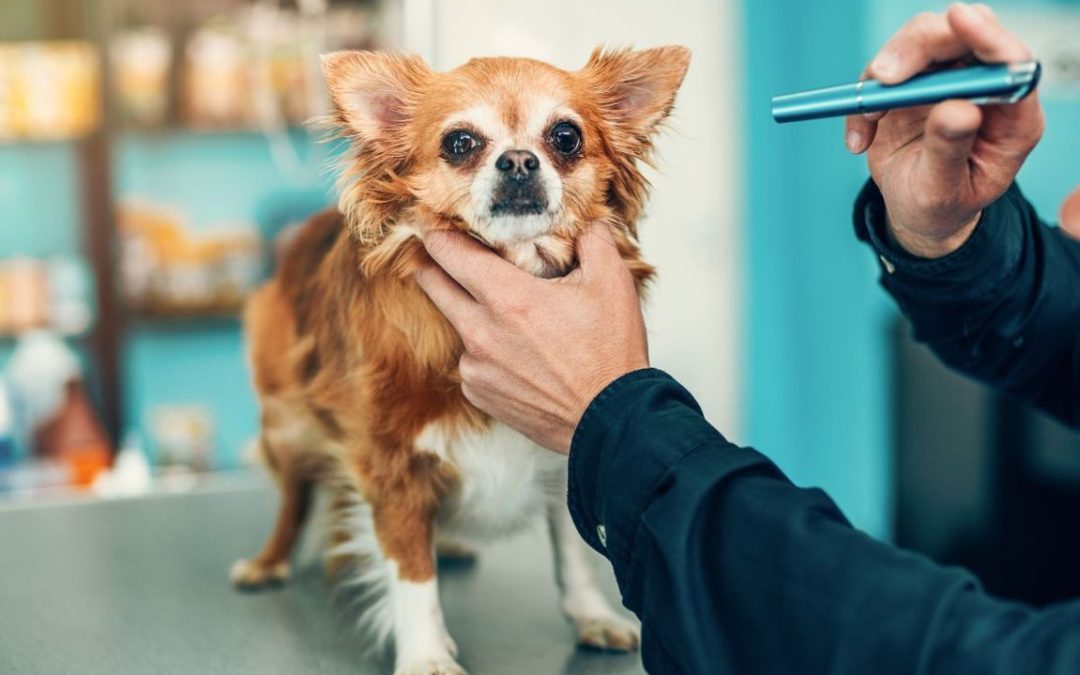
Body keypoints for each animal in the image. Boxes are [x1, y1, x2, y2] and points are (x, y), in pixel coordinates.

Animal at [230, 44, 691, 669]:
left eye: (566, 137)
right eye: (459, 143)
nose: (519, 161)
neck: (516, 262)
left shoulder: (569, 451)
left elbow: (573, 555)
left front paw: (592, 616)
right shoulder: (391, 465)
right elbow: (410, 573)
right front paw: (426, 655)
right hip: (287, 427)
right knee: (295, 498)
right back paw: (269, 561)